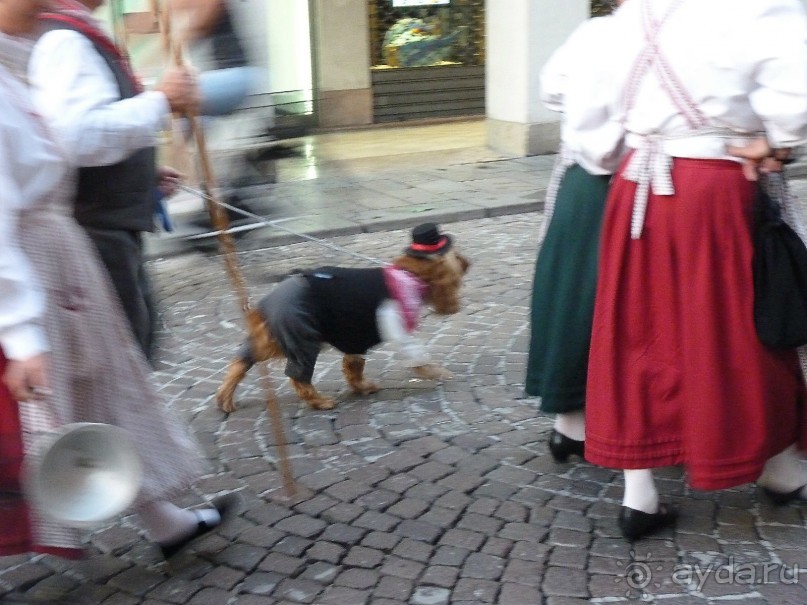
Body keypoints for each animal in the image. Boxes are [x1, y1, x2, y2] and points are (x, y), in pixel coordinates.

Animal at [218, 224, 470, 412]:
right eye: (456, 281)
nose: (456, 307)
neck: (409, 275)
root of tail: (269, 301)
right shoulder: (395, 324)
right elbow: (416, 356)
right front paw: (436, 372)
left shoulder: (355, 338)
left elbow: (353, 366)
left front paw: (361, 386)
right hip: (302, 339)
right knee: (298, 377)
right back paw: (319, 401)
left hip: (272, 339)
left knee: (240, 361)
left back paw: (224, 398)